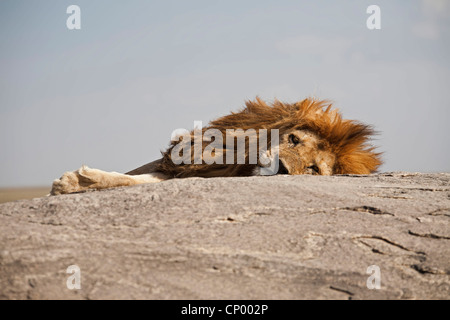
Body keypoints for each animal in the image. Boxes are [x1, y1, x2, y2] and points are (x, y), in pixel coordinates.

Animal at [50, 97, 384, 195]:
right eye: (293, 139)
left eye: (314, 168)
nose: (282, 169)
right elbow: (131, 174)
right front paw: (72, 182)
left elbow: (132, 180)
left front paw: (75, 181)